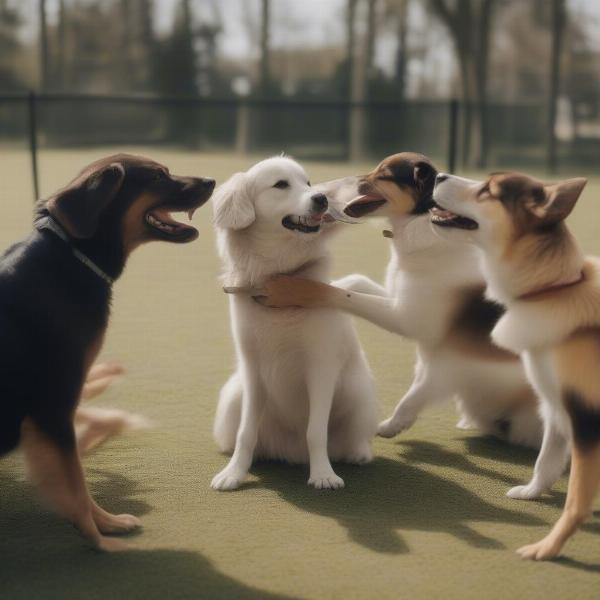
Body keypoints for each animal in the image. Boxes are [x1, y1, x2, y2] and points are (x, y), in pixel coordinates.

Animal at [0, 152, 213, 552]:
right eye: (158, 177)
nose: (211, 181)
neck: (70, 258)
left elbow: (77, 481)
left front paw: (106, 524)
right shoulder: (54, 408)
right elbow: (74, 484)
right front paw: (101, 540)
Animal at [262, 151, 544, 454]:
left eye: (383, 174)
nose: (327, 191)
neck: (422, 222)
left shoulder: (408, 320)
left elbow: (338, 295)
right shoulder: (399, 298)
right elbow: (354, 283)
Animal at [432, 171, 596, 560]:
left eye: (487, 191)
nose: (439, 174)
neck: (554, 290)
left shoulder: (585, 419)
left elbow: (575, 501)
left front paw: (548, 548)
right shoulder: (555, 405)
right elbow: (546, 460)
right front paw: (532, 492)